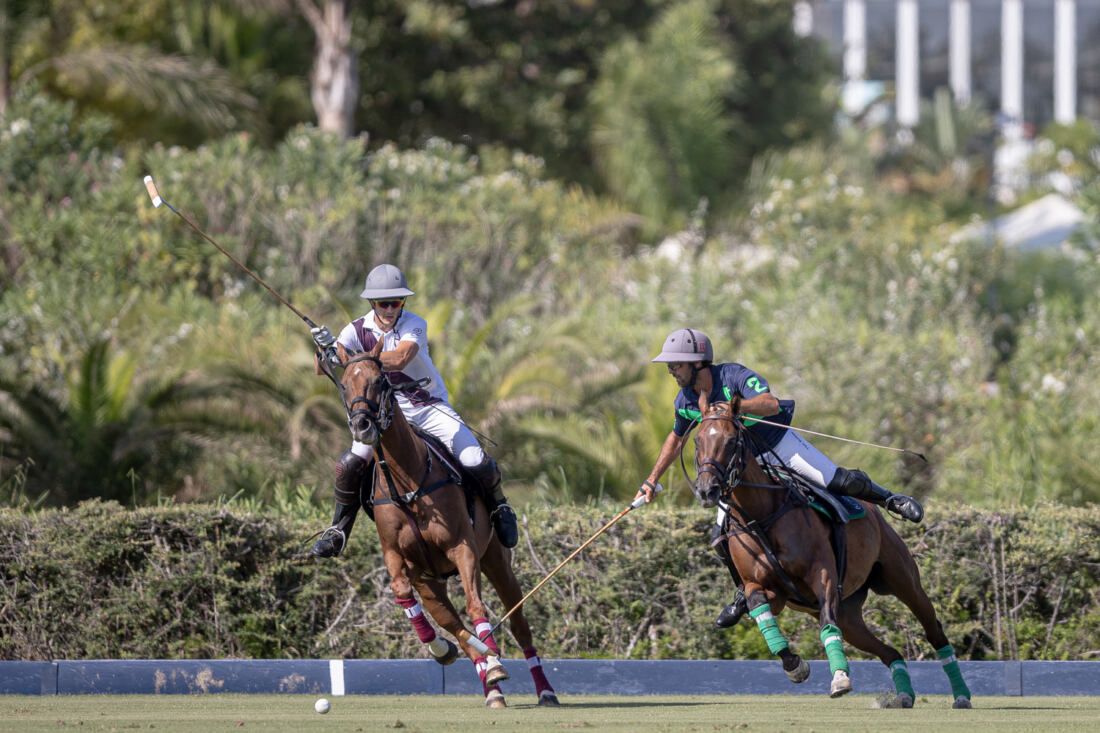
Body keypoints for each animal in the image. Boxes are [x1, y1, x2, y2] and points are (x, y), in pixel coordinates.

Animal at [334, 338, 558, 704]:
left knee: (518, 622)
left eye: (380, 381)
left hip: (496, 560)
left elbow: (476, 606)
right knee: (453, 624)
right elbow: (404, 592)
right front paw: (445, 650)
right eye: (344, 384)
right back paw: (488, 683)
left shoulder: (462, 546)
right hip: (431, 582)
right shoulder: (396, 556)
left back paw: (542, 689)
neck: (408, 484)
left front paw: (493, 656)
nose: (362, 426)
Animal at [695, 396, 972, 704]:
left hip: (903, 581)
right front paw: (795, 666)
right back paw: (903, 695)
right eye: (697, 440)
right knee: (890, 652)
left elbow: (827, 625)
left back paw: (961, 695)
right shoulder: (763, 587)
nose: (706, 489)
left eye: (731, 440)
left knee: (934, 631)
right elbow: (762, 613)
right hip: (850, 615)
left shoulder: (823, 573)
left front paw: (840, 679)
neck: (761, 516)